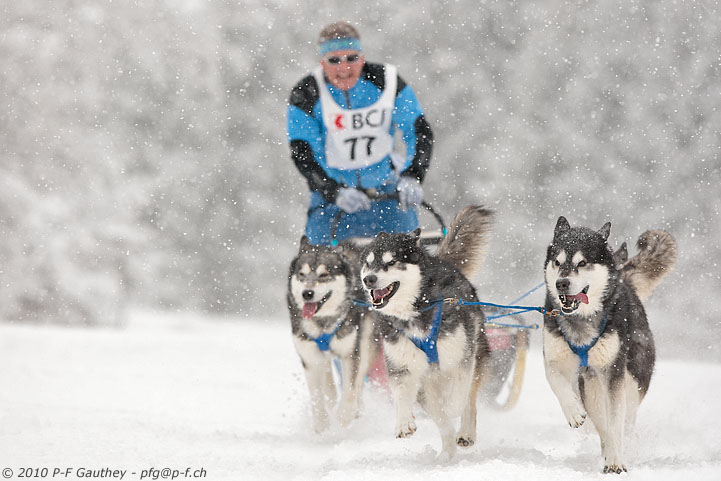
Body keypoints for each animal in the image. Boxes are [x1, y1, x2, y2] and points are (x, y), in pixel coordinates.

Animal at [286, 236, 380, 432]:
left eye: (324, 275)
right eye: (302, 274)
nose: (307, 294)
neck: (323, 322)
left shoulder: (351, 353)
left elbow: (350, 388)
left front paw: (344, 418)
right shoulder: (309, 357)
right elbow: (316, 395)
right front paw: (322, 424)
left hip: (367, 343)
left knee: (359, 383)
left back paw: (356, 410)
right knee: (328, 374)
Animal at [358, 205, 492, 458]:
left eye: (391, 262)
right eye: (368, 263)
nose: (368, 279)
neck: (414, 311)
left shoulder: (462, 358)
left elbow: (458, 398)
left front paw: (451, 408)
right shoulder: (400, 365)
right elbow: (401, 394)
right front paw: (403, 422)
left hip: (475, 354)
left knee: (468, 401)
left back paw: (465, 432)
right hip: (426, 381)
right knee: (439, 418)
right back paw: (445, 455)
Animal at [544, 218, 676, 472]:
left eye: (582, 262)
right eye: (557, 262)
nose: (561, 283)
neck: (582, 321)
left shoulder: (613, 372)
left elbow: (615, 422)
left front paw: (616, 461)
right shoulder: (555, 359)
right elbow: (556, 382)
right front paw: (573, 412)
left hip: (631, 380)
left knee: (625, 420)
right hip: (590, 386)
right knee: (601, 423)